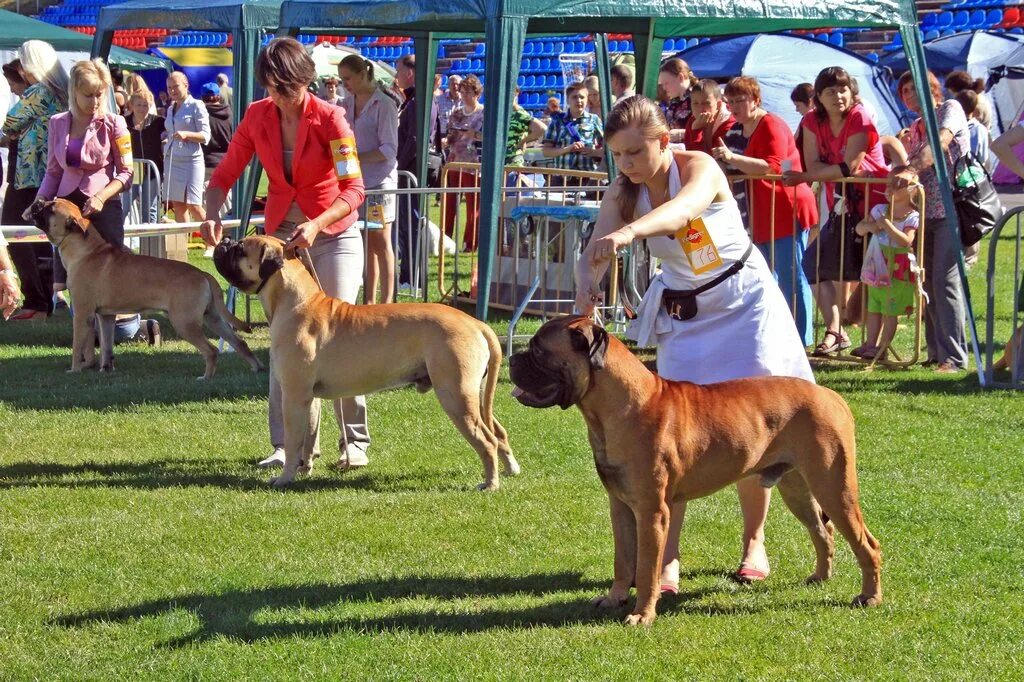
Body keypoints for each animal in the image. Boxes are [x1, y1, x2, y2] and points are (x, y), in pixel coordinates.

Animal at [30, 196, 264, 376]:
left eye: (51, 208)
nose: (38, 200)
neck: (85, 250)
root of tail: (203, 274)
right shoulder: (106, 317)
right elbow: (106, 346)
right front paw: (106, 369)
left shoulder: (82, 314)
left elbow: (77, 345)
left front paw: (75, 369)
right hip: (213, 317)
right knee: (240, 343)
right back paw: (257, 368)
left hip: (185, 322)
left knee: (211, 350)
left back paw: (206, 377)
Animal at [509, 315, 880, 622]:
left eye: (539, 350)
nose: (512, 358)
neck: (619, 406)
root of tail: (832, 396)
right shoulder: (621, 506)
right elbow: (623, 559)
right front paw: (615, 598)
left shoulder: (651, 511)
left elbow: (646, 568)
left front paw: (642, 614)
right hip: (799, 489)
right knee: (822, 532)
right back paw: (820, 577)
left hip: (835, 488)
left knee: (867, 544)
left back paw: (869, 597)